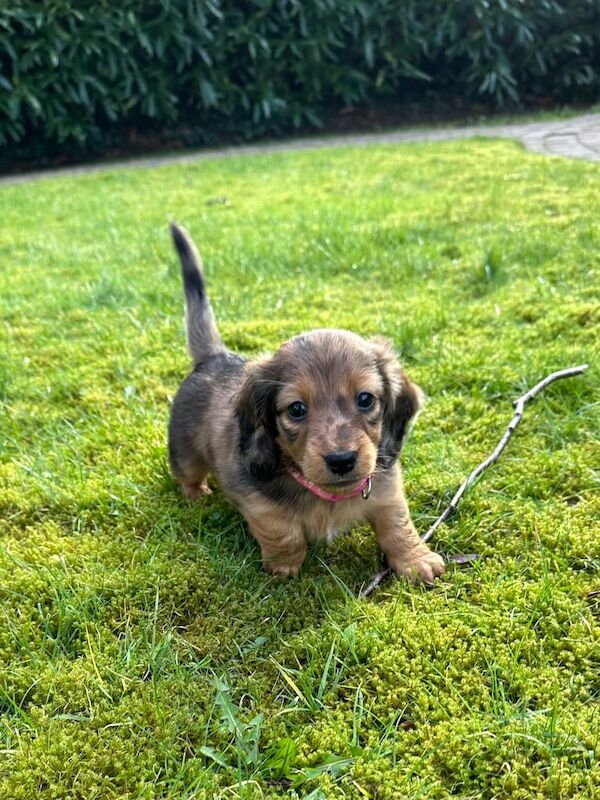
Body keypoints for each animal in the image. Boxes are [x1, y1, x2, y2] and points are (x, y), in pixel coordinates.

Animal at [169, 227, 446, 588]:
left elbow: (398, 525)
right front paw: (284, 567)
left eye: (365, 399)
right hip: (185, 455)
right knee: (187, 474)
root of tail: (215, 357)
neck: (328, 496)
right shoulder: (260, 504)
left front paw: (415, 559)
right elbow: (284, 533)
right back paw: (196, 493)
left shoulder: (387, 491)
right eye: (296, 409)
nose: (342, 460)